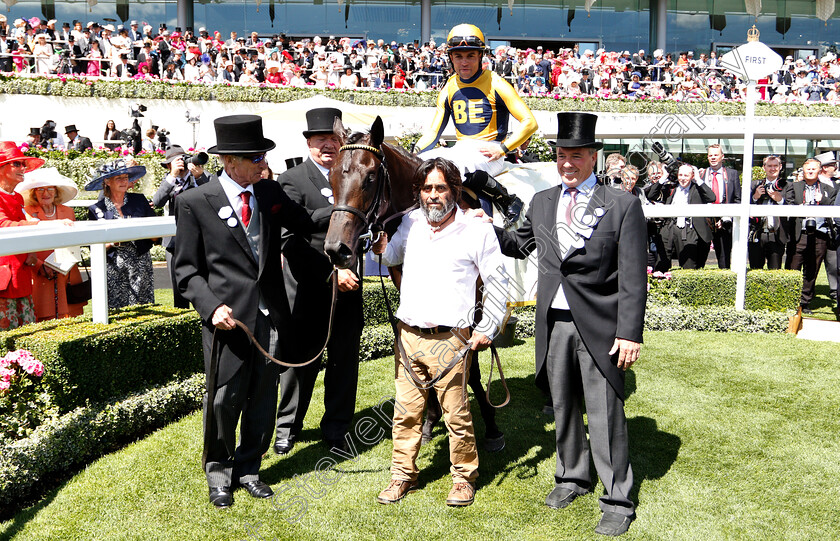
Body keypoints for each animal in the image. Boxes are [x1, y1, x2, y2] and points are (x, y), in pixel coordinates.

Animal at [324, 116, 506, 450]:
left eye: (370, 176)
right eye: (330, 174)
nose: (336, 249)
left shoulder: (474, 299)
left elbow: (470, 361)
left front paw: (491, 425)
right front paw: (430, 420)